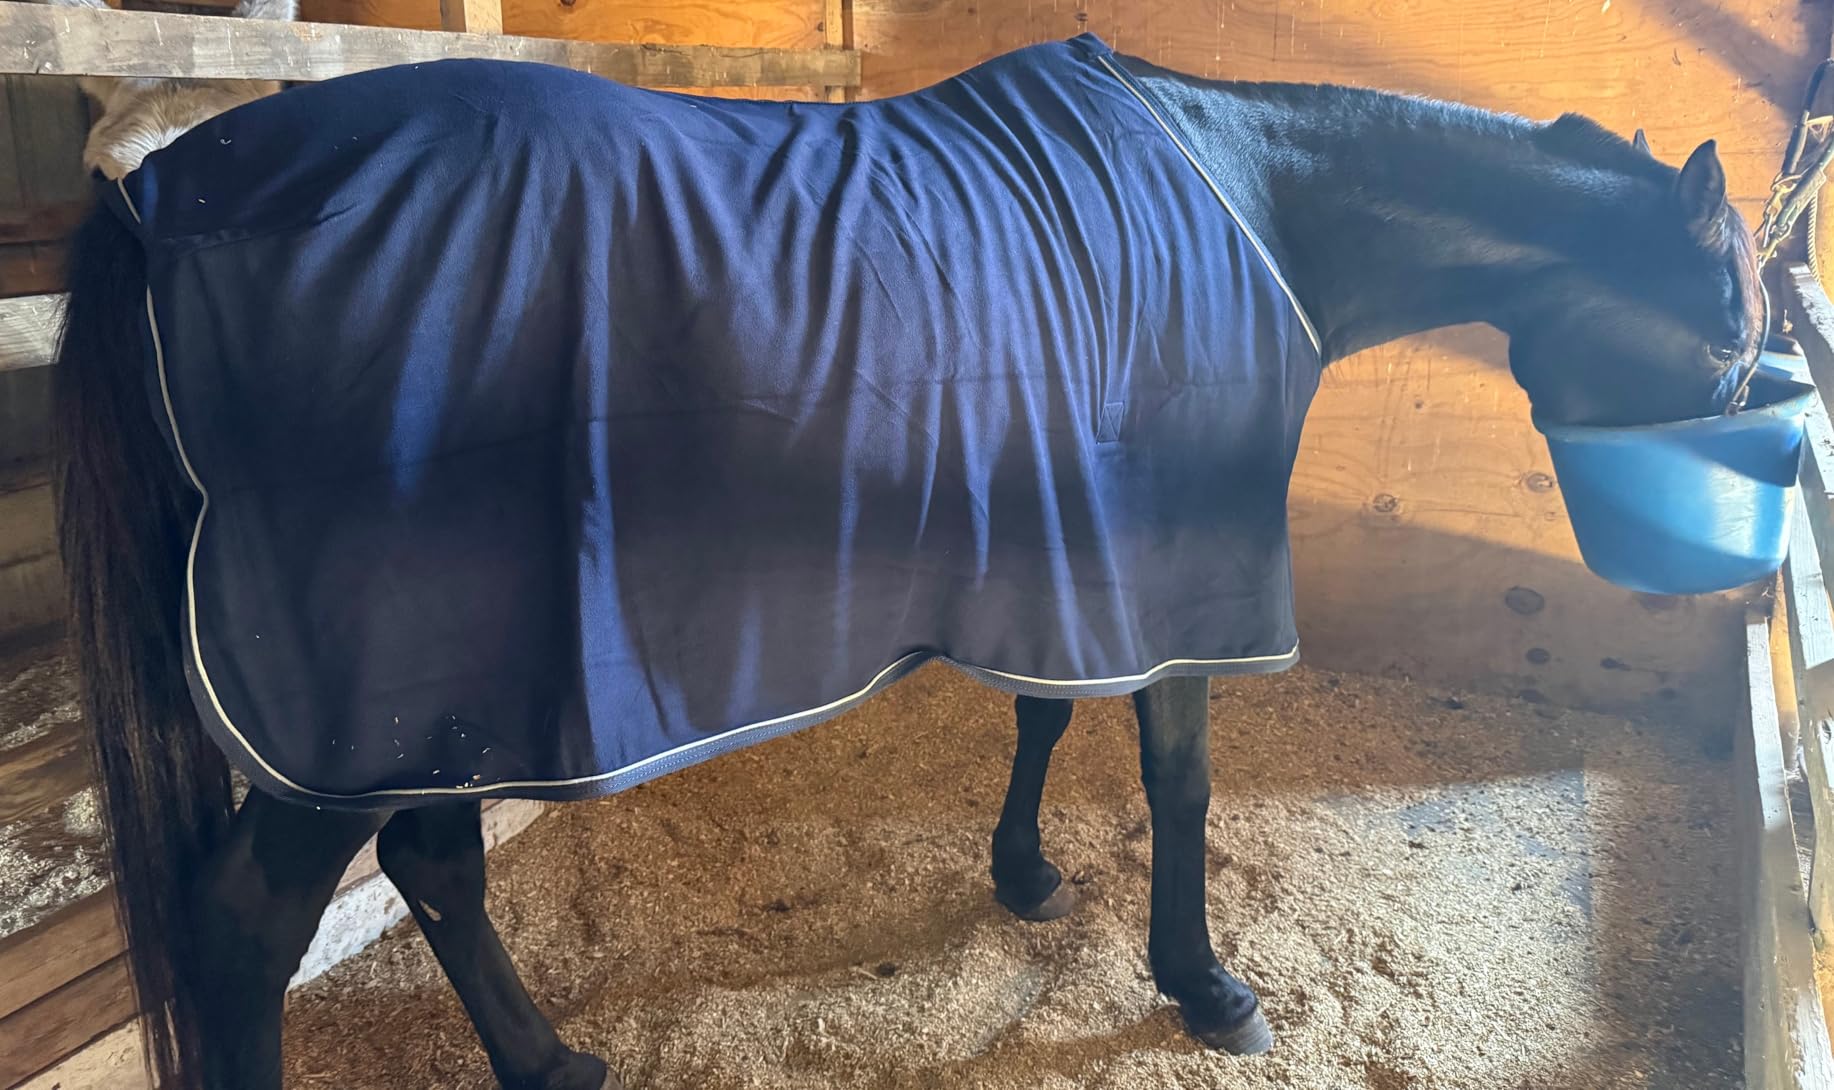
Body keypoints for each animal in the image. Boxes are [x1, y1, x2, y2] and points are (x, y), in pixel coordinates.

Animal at [43, 0, 1763, 1086]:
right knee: (248, 925)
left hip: (445, 688)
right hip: (361, 683)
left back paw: (554, 1061)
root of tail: (165, 194)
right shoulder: (1169, 564)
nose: (1743, 564)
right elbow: (1178, 778)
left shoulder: (1060, 541)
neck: (1257, 205)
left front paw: (1023, 875)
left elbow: (1044, 712)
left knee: (432, 860)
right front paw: (1205, 984)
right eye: (1732, 333)